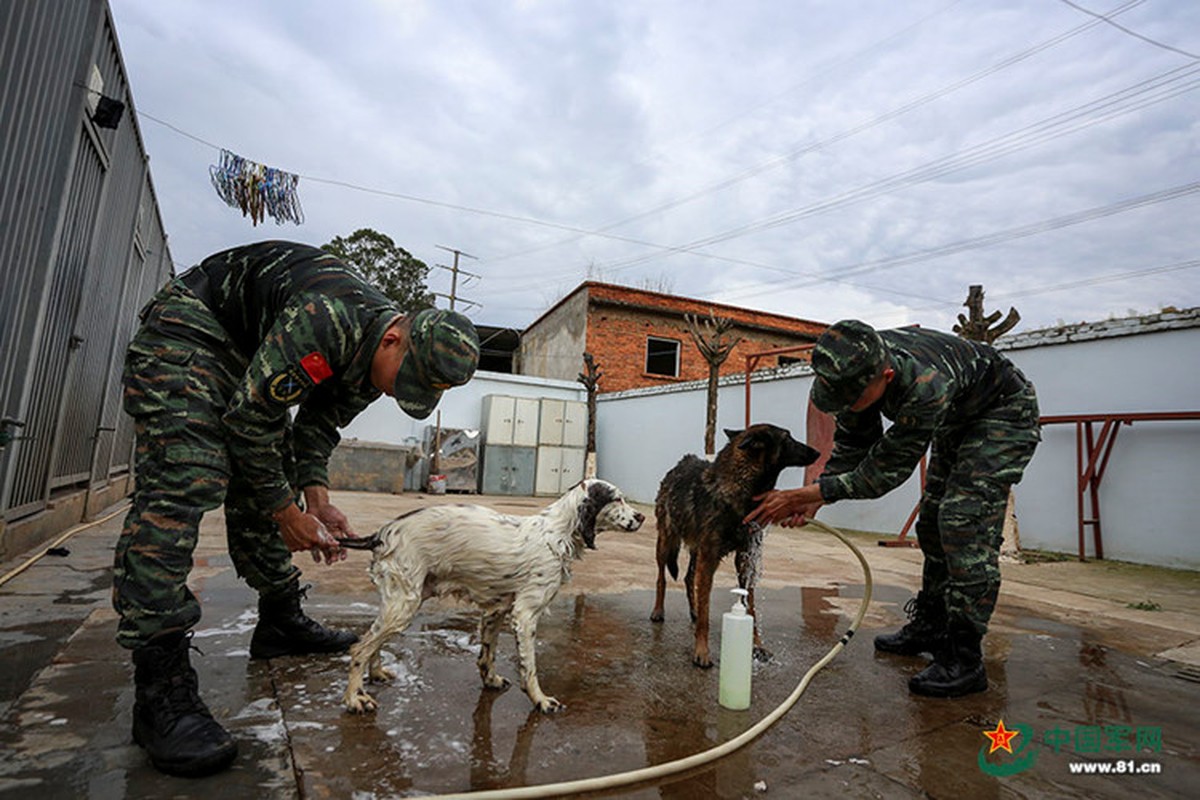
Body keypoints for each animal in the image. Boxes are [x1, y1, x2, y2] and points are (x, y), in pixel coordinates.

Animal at [340, 479, 648, 714]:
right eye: (617, 499)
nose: (642, 517)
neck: (558, 533)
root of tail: (382, 533)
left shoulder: (495, 611)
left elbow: (487, 655)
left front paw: (492, 680)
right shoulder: (525, 615)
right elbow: (529, 667)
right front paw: (541, 700)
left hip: (401, 602)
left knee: (373, 639)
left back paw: (376, 674)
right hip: (404, 605)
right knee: (359, 648)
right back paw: (355, 698)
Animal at [652, 424, 820, 671]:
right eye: (787, 438)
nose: (817, 452)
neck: (741, 487)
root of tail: (679, 465)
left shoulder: (744, 559)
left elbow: (750, 606)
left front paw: (757, 646)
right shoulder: (710, 558)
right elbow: (706, 612)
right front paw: (701, 652)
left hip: (696, 551)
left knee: (688, 578)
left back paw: (693, 609)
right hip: (666, 543)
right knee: (662, 578)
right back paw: (658, 610)